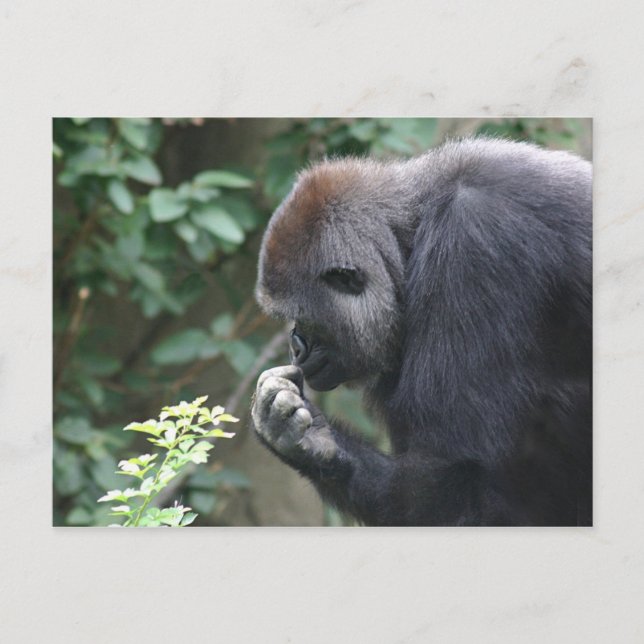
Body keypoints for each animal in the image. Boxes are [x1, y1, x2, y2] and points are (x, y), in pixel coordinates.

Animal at [251, 137, 592, 526]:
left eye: (303, 319)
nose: (296, 346)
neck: (414, 231)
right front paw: (302, 439)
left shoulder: (474, 248)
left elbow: (455, 489)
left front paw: (315, 442)